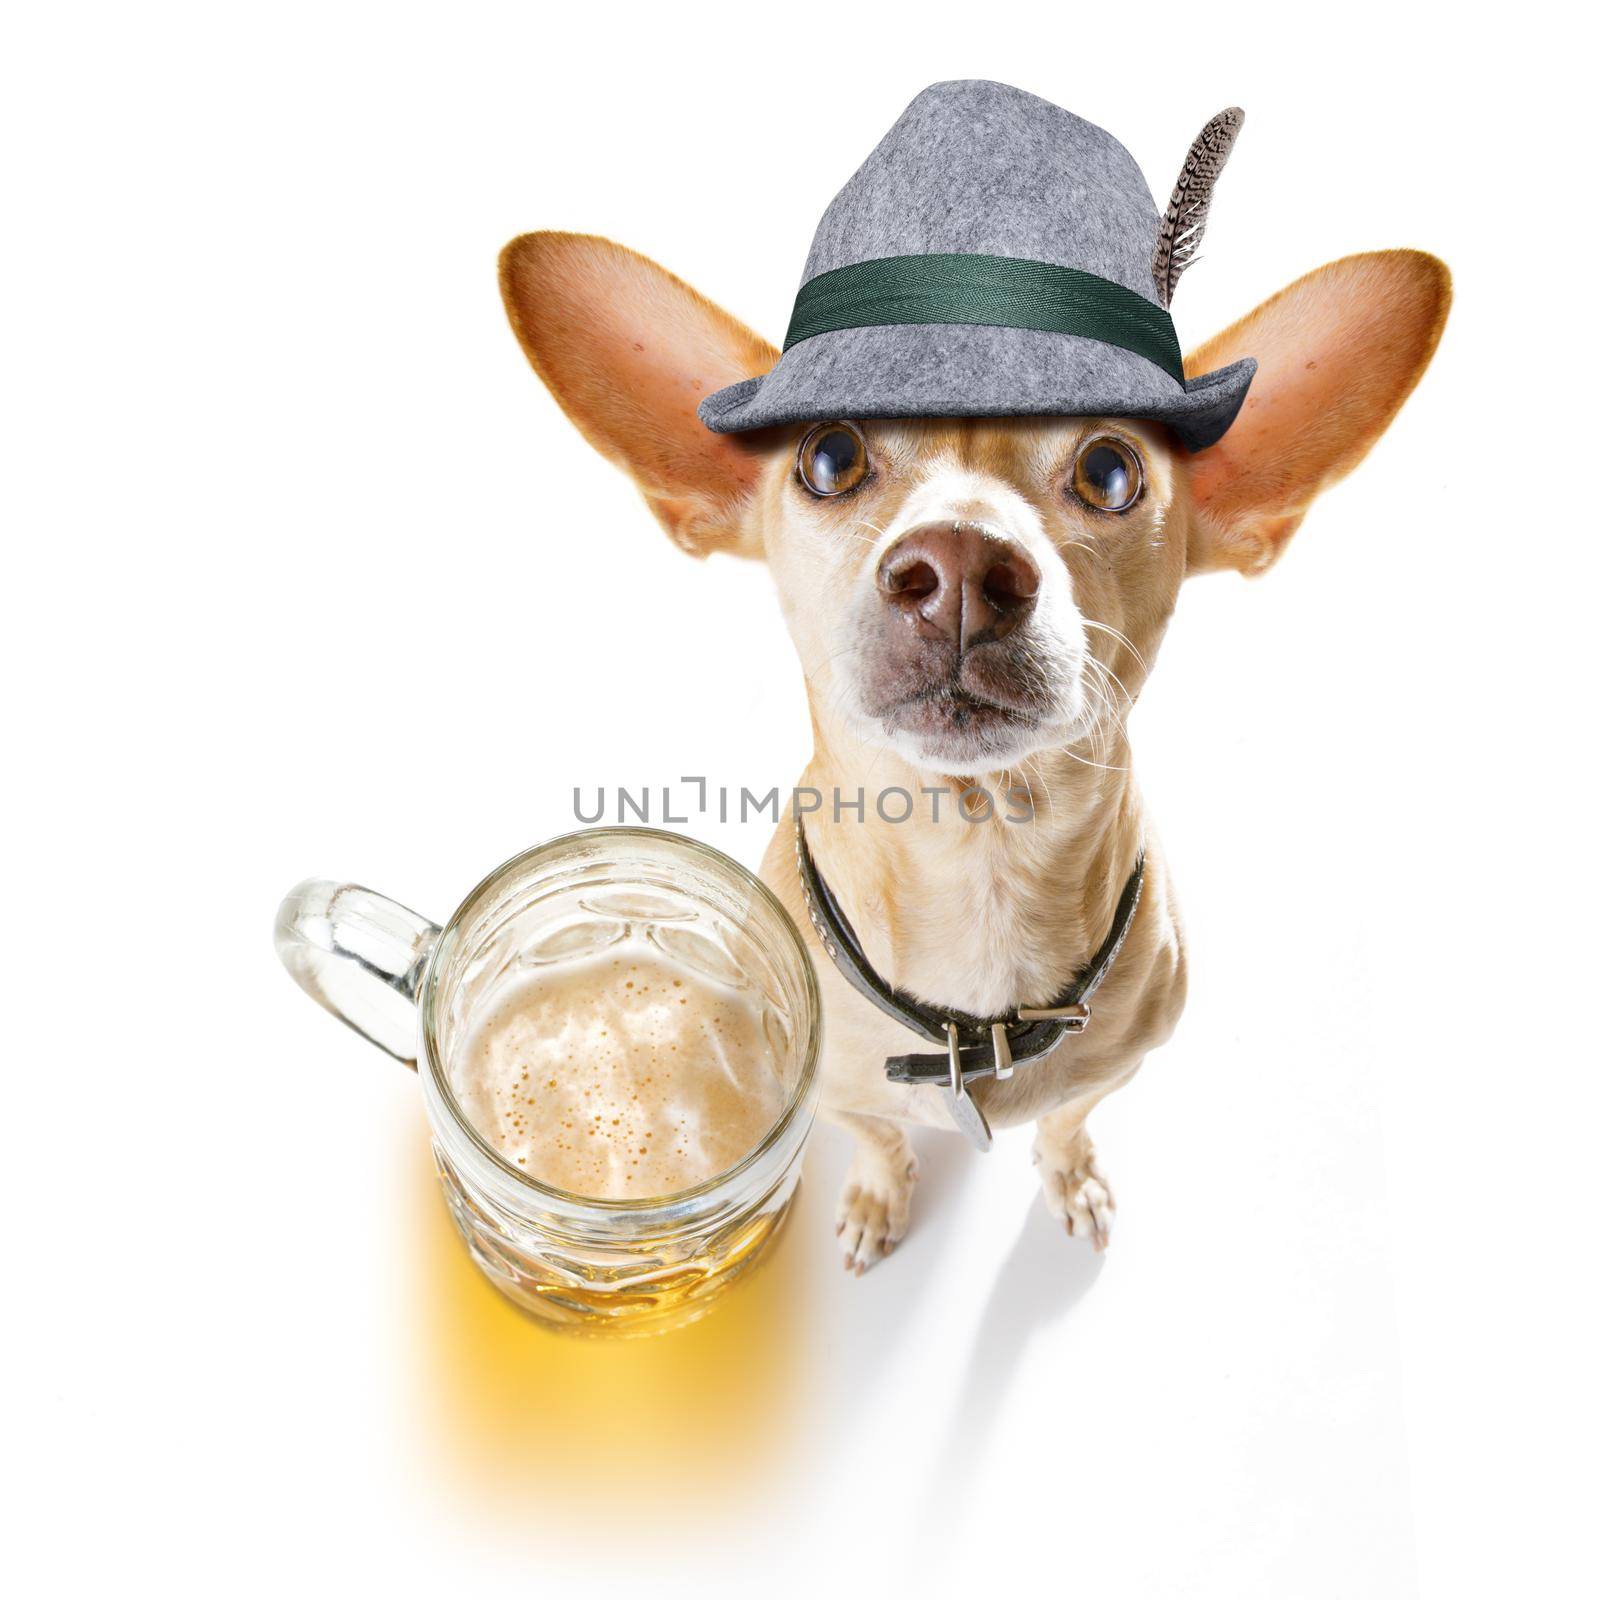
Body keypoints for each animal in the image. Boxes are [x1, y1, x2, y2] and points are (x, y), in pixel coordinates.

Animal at [499, 228, 1452, 1273]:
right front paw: (878, 1197)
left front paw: (1070, 1176)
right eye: (829, 456)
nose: (958, 564)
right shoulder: (835, 1094)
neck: (979, 865)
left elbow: (1068, 1119)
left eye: (1111, 471)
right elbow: (879, 1135)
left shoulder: (1114, 1072)